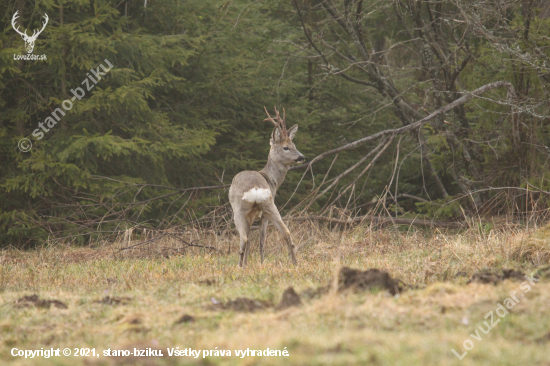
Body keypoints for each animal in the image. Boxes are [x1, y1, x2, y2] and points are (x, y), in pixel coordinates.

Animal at [229, 106, 306, 266]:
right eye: (286, 147)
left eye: (293, 146)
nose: (301, 157)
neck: (271, 180)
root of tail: (256, 188)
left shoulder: (251, 215)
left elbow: (252, 240)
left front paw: (246, 264)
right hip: (269, 205)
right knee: (285, 232)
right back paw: (295, 263)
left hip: (240, 210)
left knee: (244, 239)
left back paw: (240, 266)